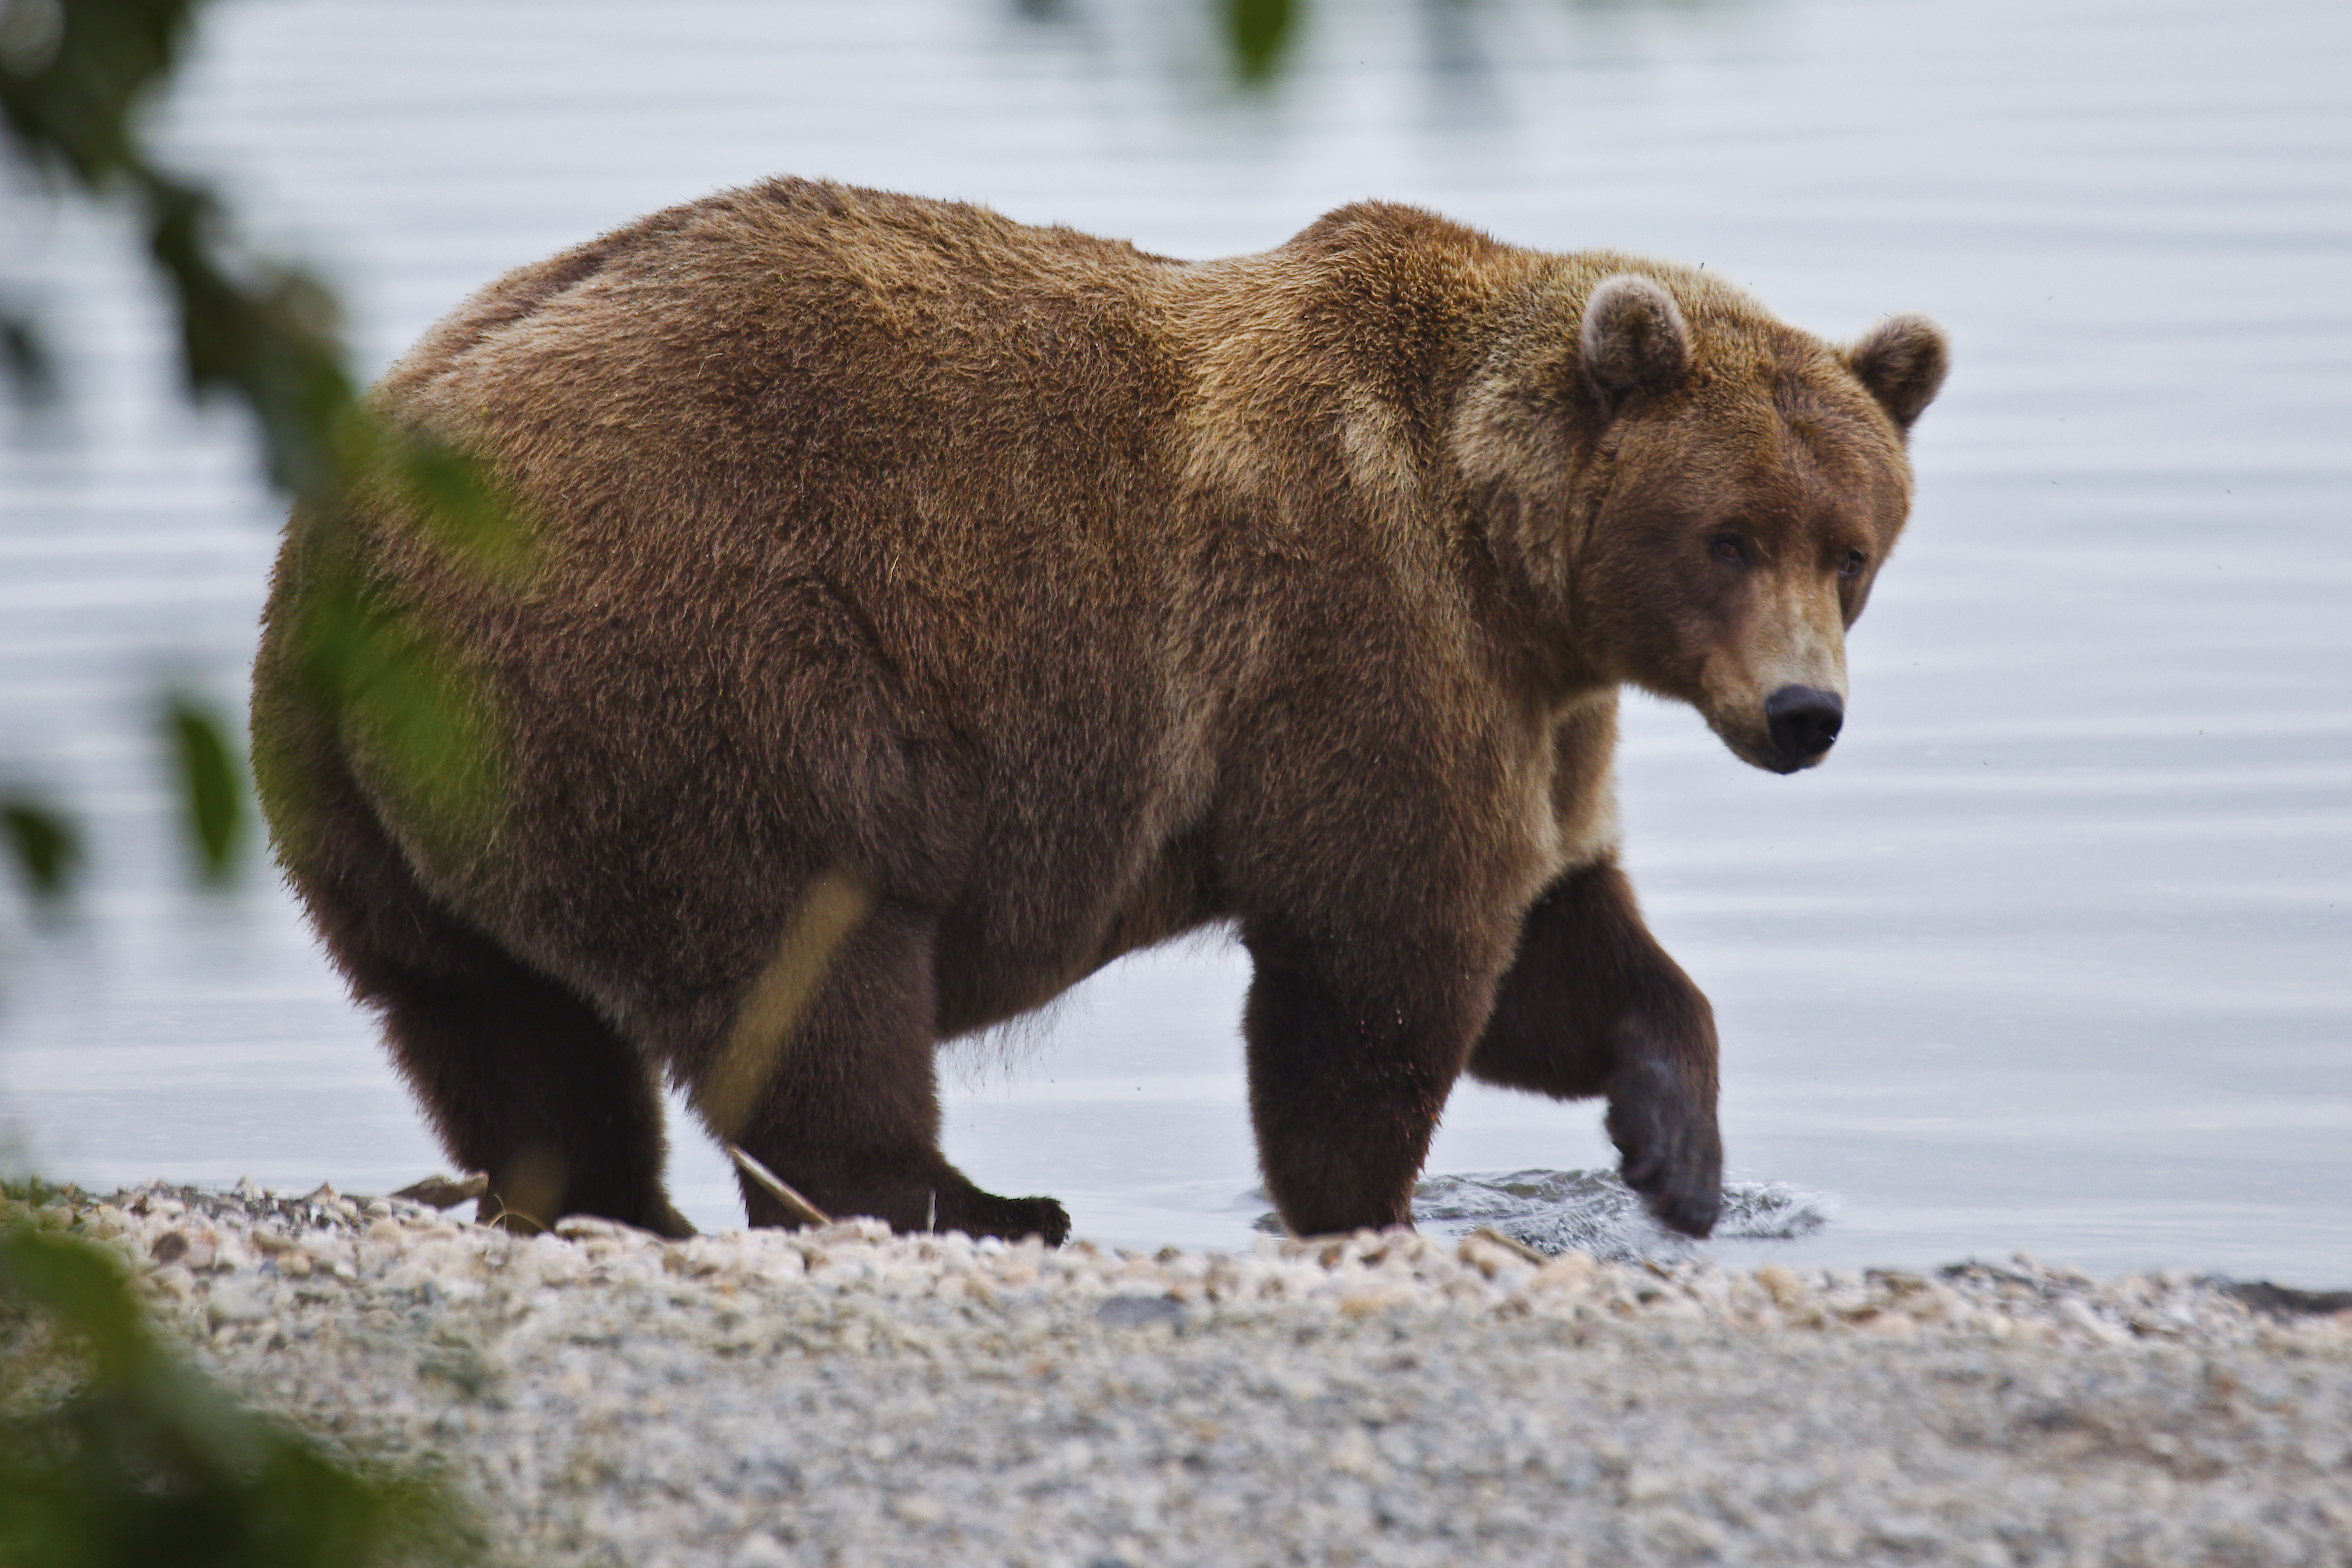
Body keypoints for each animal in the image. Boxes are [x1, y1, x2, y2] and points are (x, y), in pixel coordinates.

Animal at [249, 178, 1947, 1245]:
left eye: (1850, 548)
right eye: (1727, 537)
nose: (1803, 711)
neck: (1508, 555)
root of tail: (362, 509)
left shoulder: (1536, 710)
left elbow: (1560, 941)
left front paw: (1677, 1152)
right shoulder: (1366, 636)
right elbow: (1385, 957)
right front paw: (1365, 1200)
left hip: (378, 788)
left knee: (493, 1018)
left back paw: (606, 1194)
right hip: (699, 667)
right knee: (807, 958)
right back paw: (975, 1199)